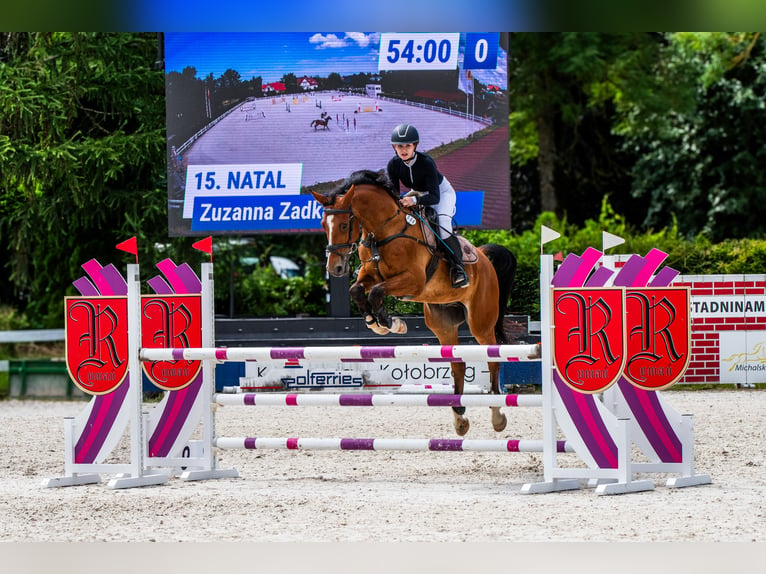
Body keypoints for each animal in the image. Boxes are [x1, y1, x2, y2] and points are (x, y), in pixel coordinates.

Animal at [312, 171, 520, 436]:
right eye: (322, 225)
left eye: (344, 225)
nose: (335, 268)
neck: (384, 231)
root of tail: (483, 256)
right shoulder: (370, 275)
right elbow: (357, 290)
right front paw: (376, 322)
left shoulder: (413, 281)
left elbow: (376, 292)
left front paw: (389, 322)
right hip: (443, 324)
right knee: (458, 364)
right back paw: (460, 417)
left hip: (480, 323)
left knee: (492, 359)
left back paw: (497, 415)